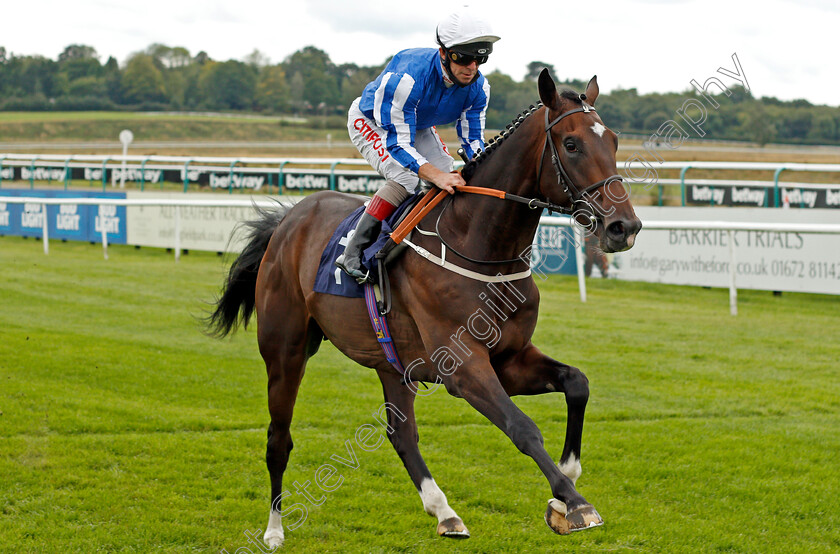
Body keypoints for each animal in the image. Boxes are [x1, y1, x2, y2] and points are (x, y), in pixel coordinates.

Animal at [210, 70, 644, 548]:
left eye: (615, 140)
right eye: (571, 144)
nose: (624, 226)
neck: (478, 243)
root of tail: (288, 219)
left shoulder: (509, 359)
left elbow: (576, 383)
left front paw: (562, 494)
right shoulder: (462, 367)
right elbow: (523, 428)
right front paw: (576, 503)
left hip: (390, 360)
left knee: (401, 434)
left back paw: (445, 512)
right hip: (285, 349)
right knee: (278, 439)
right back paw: (274, 530)